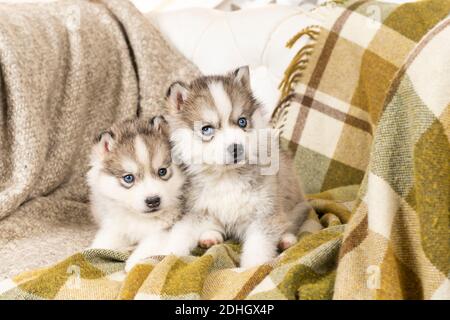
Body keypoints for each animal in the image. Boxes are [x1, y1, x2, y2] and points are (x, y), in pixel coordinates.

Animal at [86, 116, 185, 272]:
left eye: (162, 171)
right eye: (128, 178)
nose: (153, 200)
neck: (140, 218)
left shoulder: (166, 228)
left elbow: (150, 244)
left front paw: (135, 262)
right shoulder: (116, 224)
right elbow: (104, 240)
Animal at [163, 65, 310, 268]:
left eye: (242, 122)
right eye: (206, 129)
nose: (236, 148)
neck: (227, 176)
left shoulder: (264, 214)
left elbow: (258, 248)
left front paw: (251, 269)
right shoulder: (197, 210)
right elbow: (179, 234)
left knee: (288, 221)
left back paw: (286, 238)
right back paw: (210, 236)